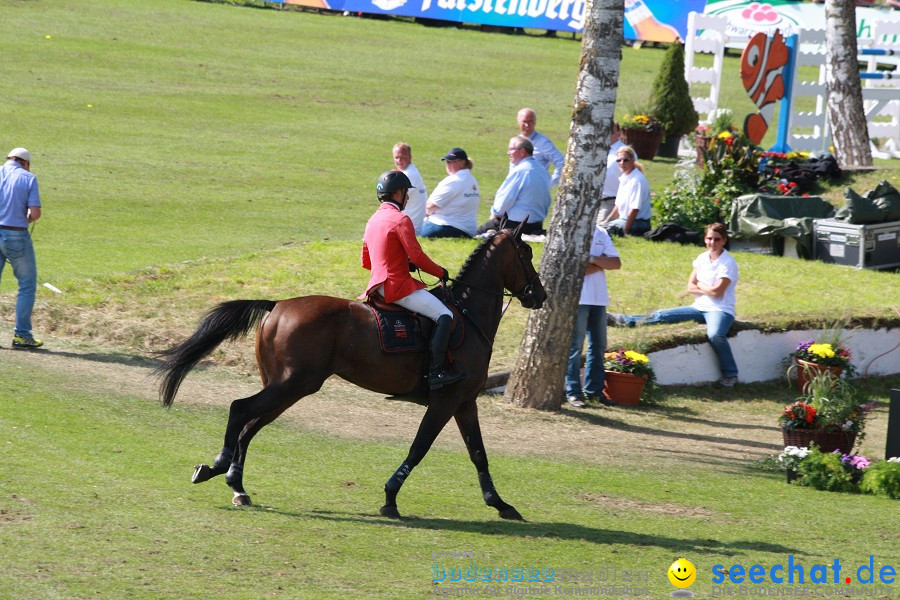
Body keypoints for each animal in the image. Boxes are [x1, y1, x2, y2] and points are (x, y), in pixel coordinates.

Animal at [157, 221, 544, 520]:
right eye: (526, 254)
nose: (539, 296)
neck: (466, 315)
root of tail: (277, 305)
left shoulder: (465, 403)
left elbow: (478, 453)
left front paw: (500, 504)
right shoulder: (445, 401)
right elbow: (419, 448)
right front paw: (390, 498)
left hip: (288, 388)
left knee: (250, 426)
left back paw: (237, 485)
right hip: (291, 384)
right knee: (240, 411)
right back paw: (219, 466)